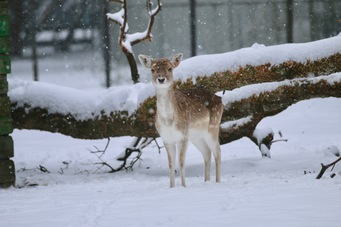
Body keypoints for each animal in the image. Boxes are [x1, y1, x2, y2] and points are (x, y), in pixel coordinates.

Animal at [138, 53, 223, 188]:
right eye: (152, 69)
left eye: (170, 68)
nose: (161, 79)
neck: (169, 122)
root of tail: (220, 99)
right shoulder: (166, 139)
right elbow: (171, 164)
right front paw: (171, 187)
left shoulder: (183, 136)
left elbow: (181, 162)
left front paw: (183, 186)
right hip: (197, 136)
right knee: (207, 152)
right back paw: (206, 181)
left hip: (213, 127)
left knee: (218, 152)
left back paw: (217, 181)